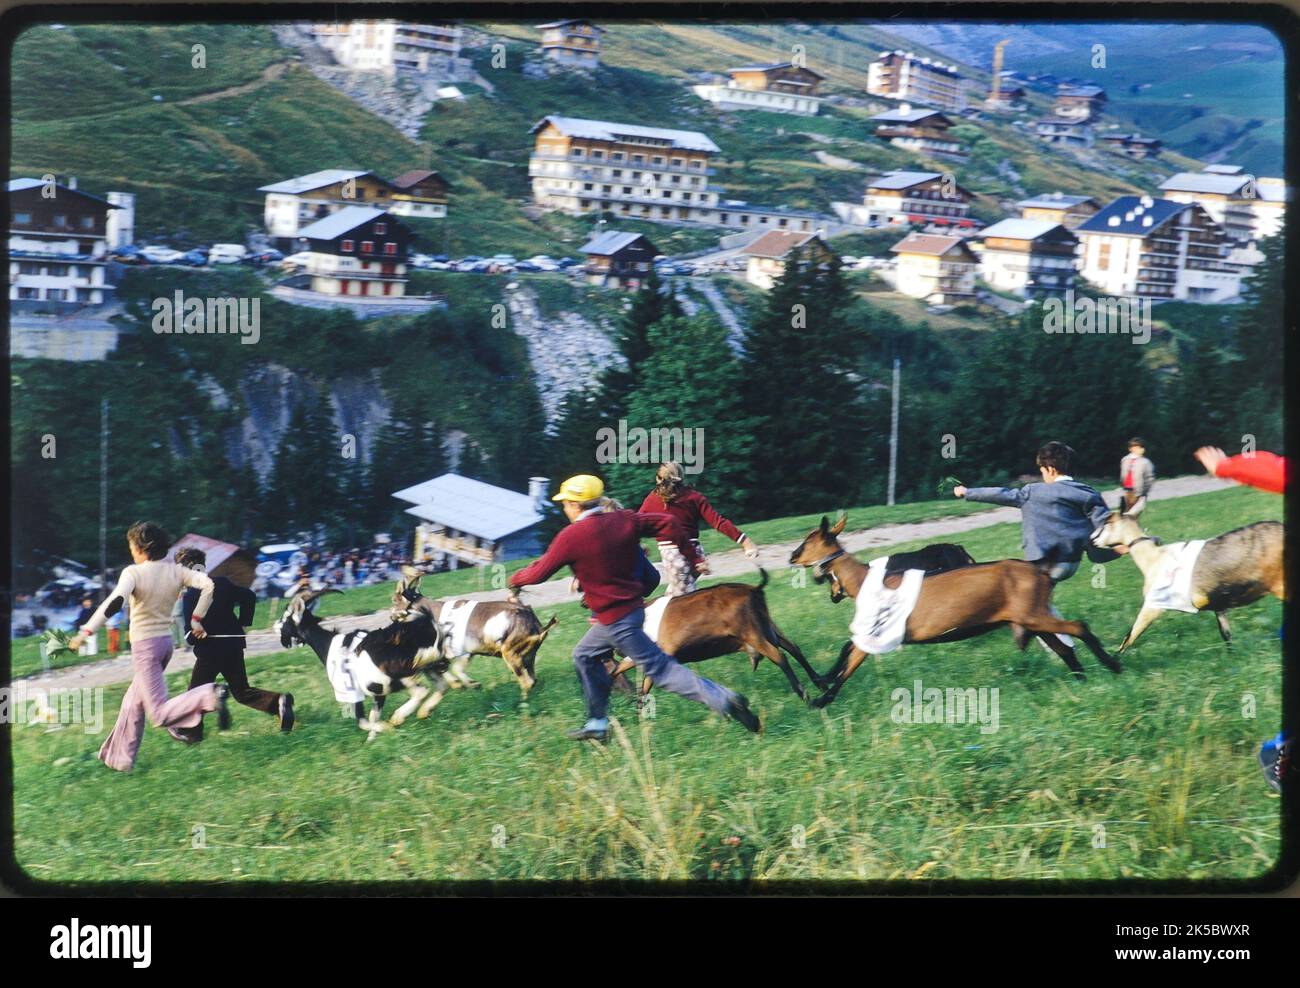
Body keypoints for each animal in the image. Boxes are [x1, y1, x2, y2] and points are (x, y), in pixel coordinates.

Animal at [274, 582, 452, 738]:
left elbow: (362, 721)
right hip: (430, 665)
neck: (328, 644)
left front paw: (386, 728)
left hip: (401, 673)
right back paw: (424, 711)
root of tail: (424, 624)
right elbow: (374, 716)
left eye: (286, 618)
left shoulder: (353, 692)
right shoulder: (378, 692)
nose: (278, 633)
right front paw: (372, 741)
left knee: (421, 691)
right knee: (442, 685)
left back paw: (398, 717)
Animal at [387, 566, 556, 696]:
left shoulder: (463, 651)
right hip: (528, 657)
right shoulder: (463, 653)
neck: (435, 614)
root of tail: (538, 628)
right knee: (532, 680)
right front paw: (461, 684)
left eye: (394, 600)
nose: (390, 616)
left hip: (510, 654)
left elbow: (455, 669)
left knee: (526, 682)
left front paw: (471, 684)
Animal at [600, 566, 821, 696]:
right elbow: (620, 670)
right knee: (793, 647)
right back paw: (820, 682)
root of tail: (753, 589)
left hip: (752, 633)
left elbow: (646, 682)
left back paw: (802, 691)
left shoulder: (661, 652)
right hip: (767, 626)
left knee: (779, 655)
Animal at [785, 512, 1123, 707]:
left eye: (809, 539)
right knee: (1065, 646)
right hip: (1032, 618)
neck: (866, 579)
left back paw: (1112, 665)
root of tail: (1038, 567)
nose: (791, 556)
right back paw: (1081, 679)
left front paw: (820, 698)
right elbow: (847, 654)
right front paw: (823, 684)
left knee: (1079, 627)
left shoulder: (878, 633)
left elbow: (849, 661)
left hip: (1034, 614)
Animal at [1092, 509, 1284, 655]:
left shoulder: (1154, 605)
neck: (1154, 557)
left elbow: (1131, 635)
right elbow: (1226, 635)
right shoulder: (1218, 605)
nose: (1093, 539)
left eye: (1106, 523)